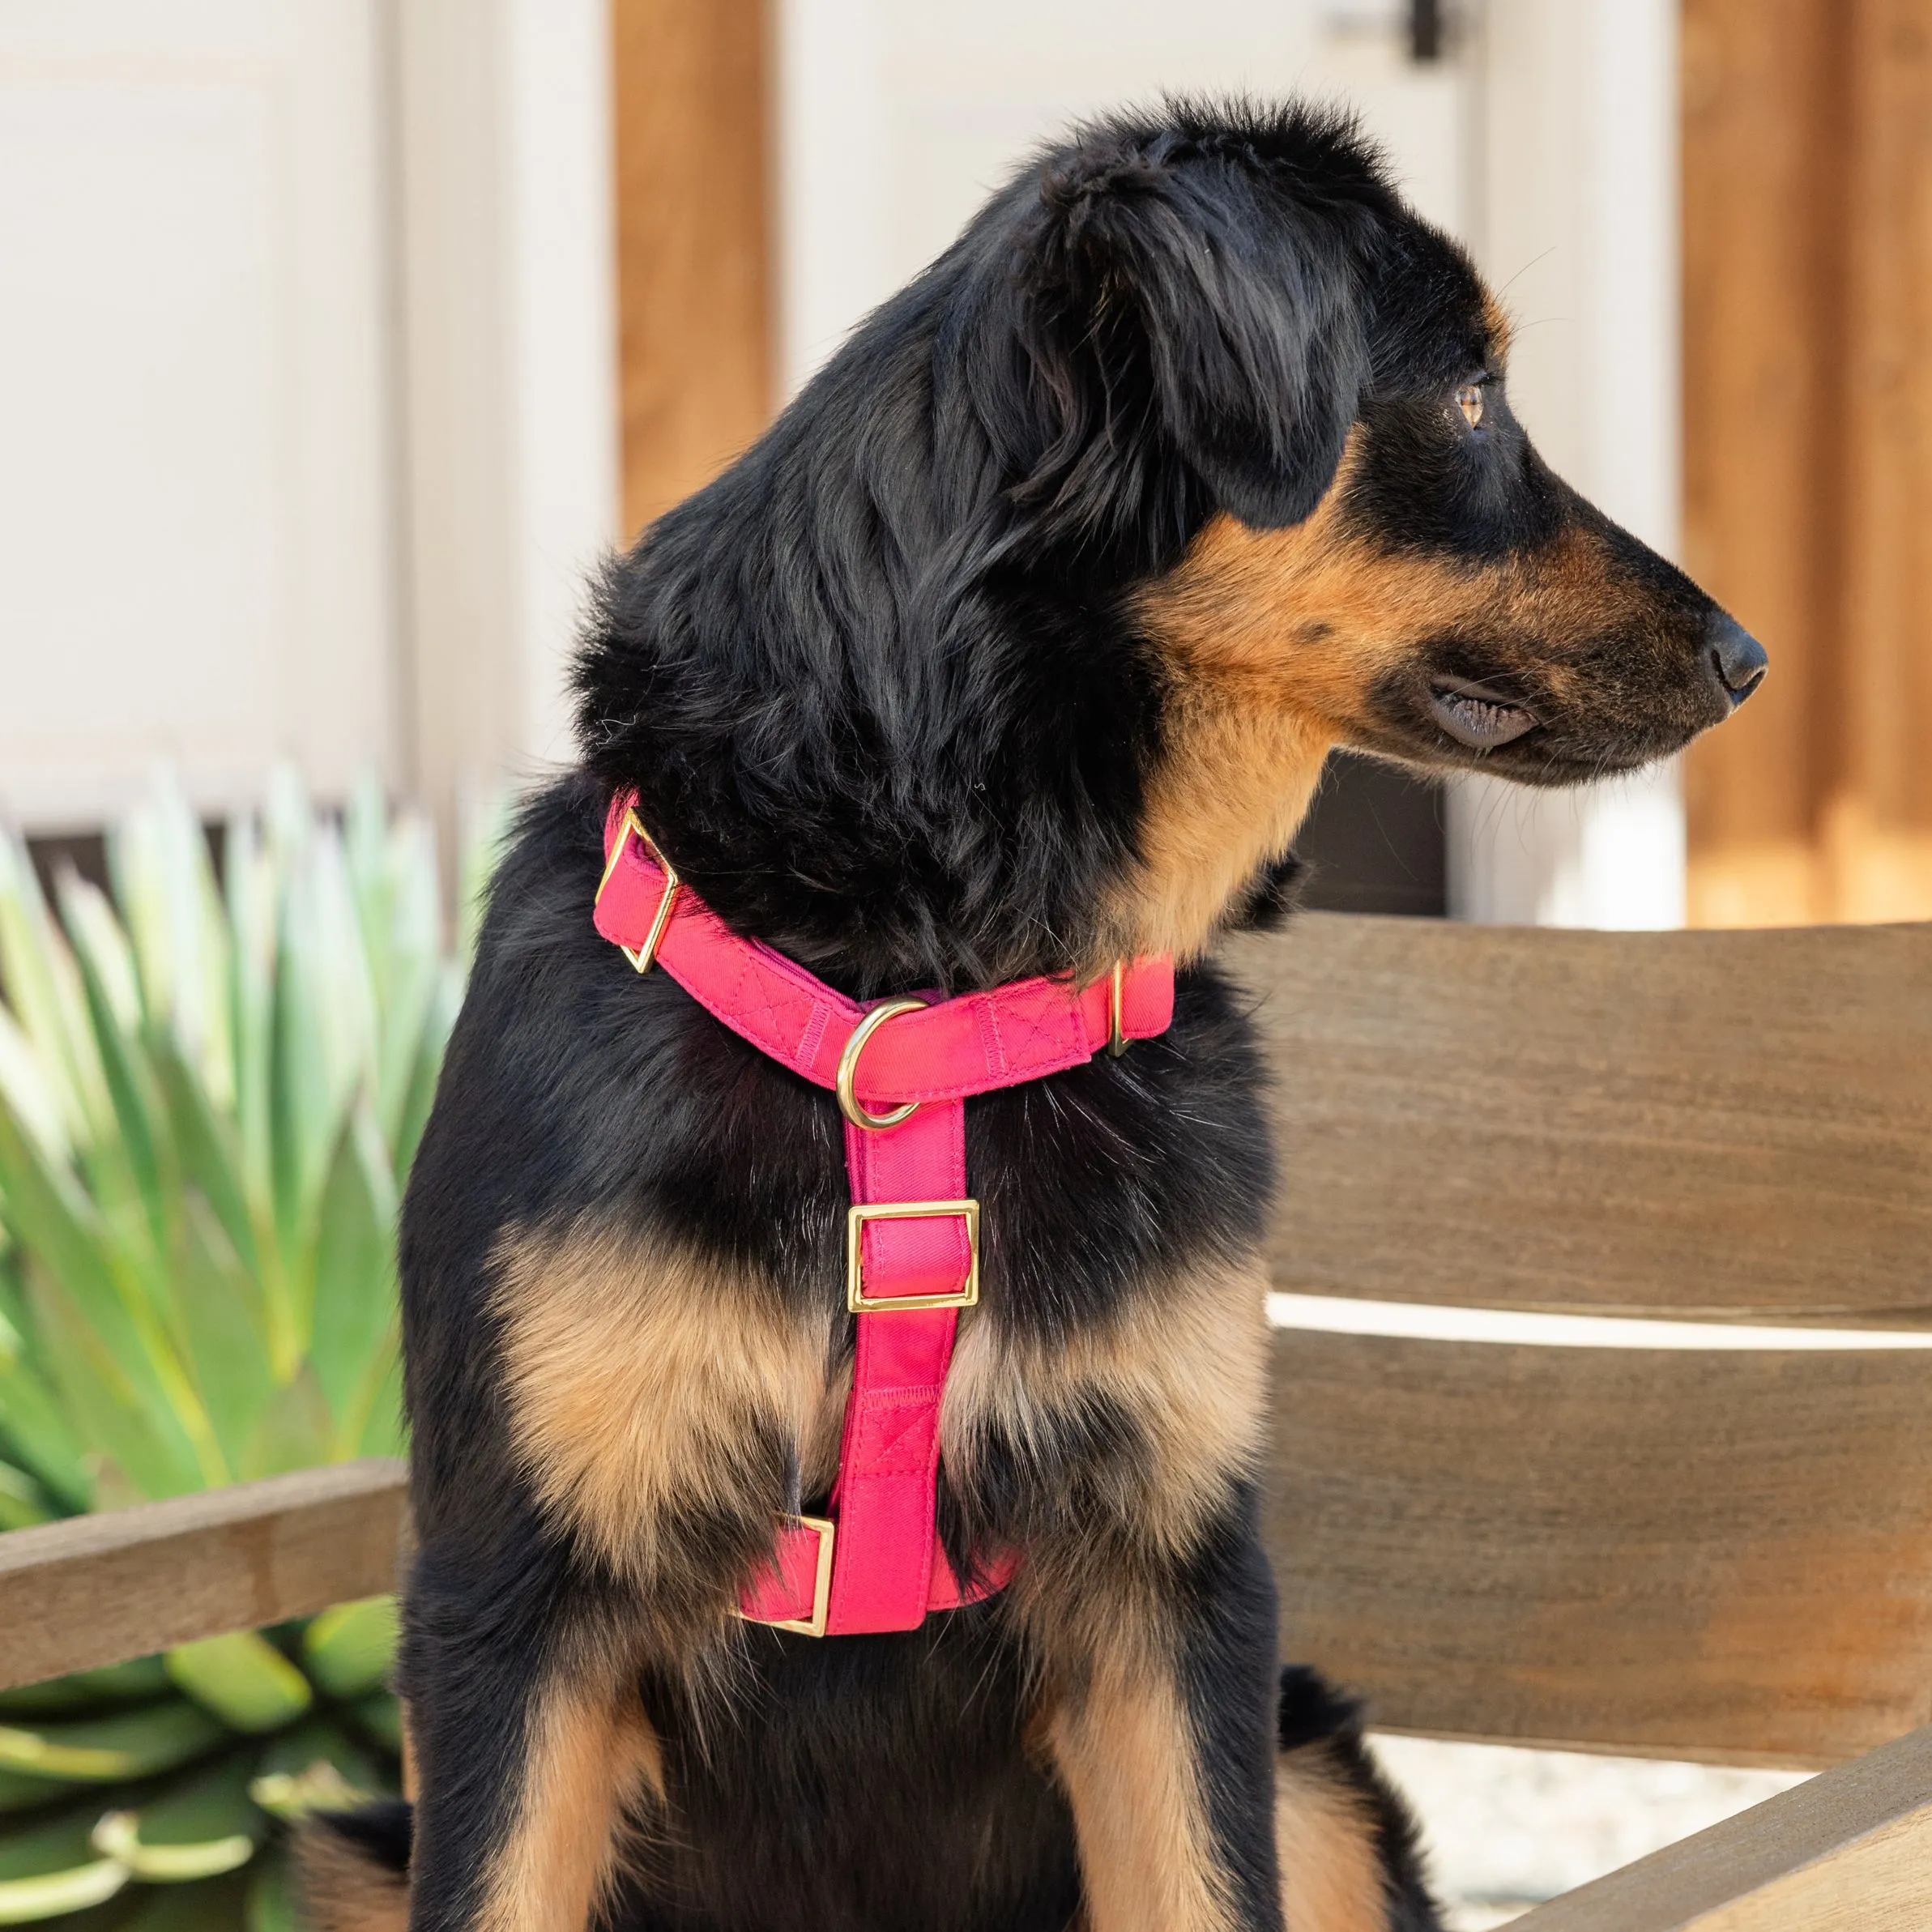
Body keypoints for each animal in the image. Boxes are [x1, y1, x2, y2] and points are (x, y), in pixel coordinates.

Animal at [305, 101, 1769, 1932]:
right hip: (363, 1849)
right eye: (1471, 397)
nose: (1748, 658)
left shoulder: (1167, 1587)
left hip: (1314, 1775)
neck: (917, 980)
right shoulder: (518, 1603)